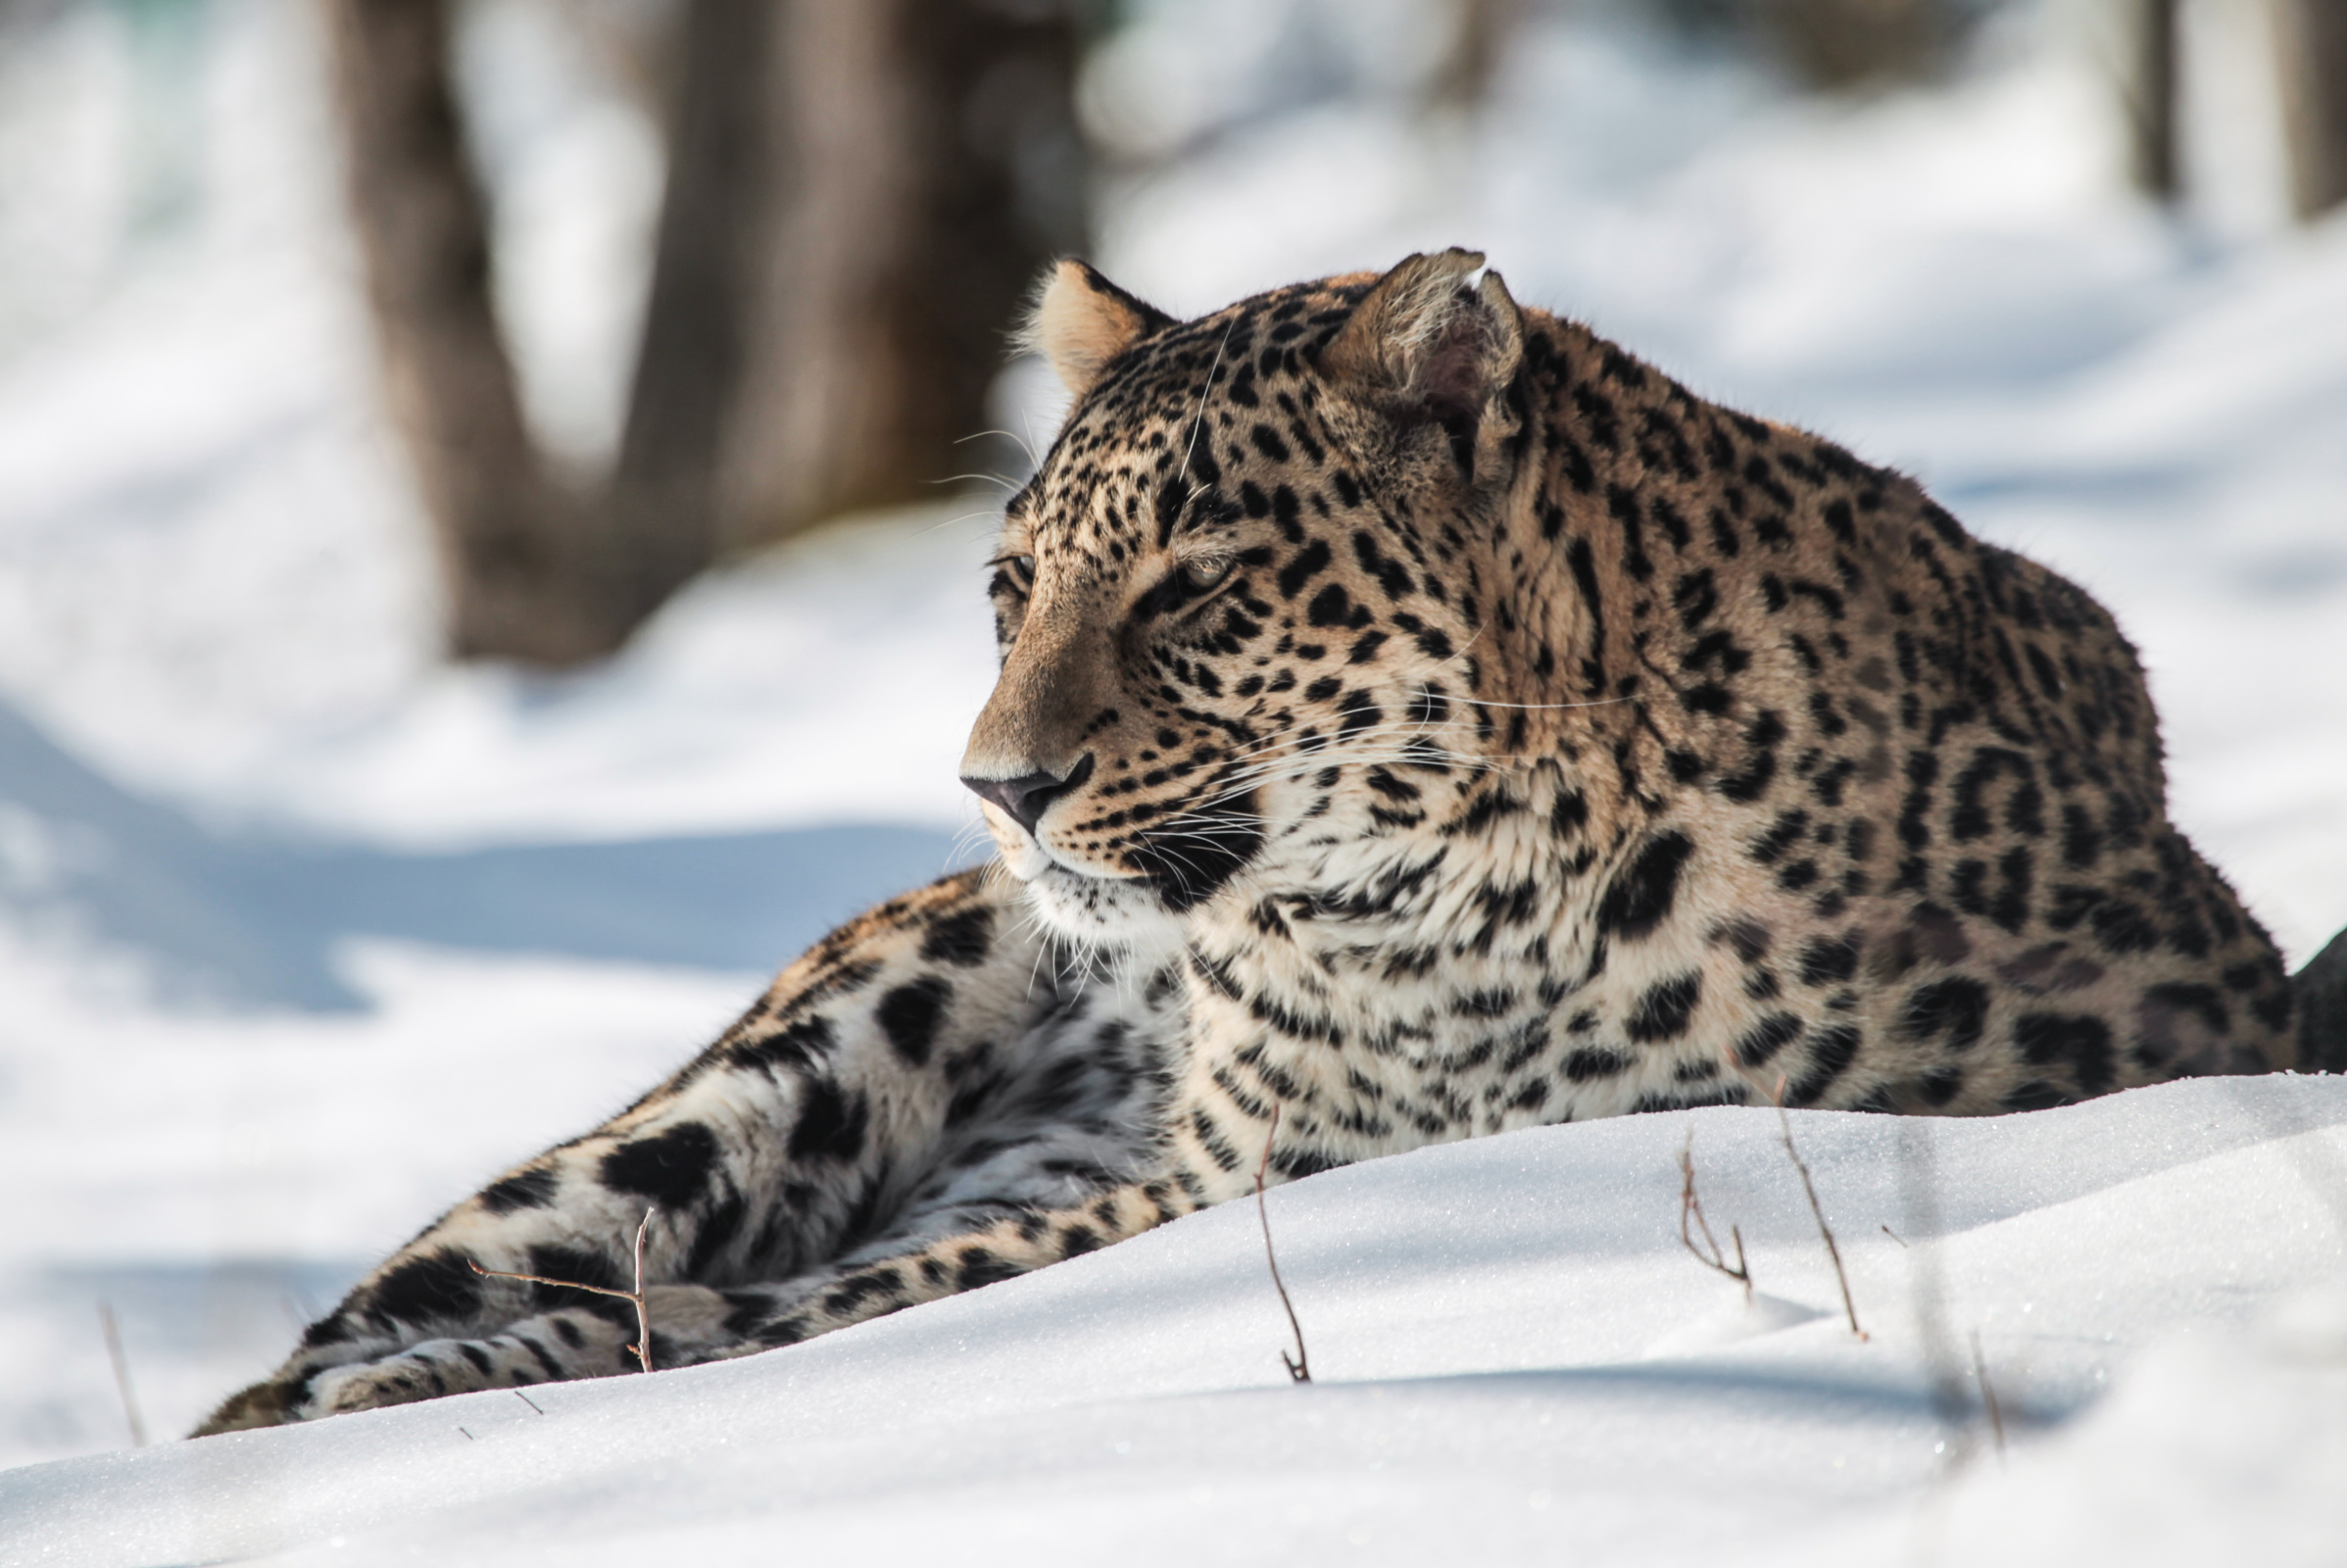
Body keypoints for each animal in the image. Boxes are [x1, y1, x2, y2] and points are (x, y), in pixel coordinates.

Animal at [197, 251, 2290, 1436]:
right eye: (1013, 589)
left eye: (1192, 591)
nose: (997, 789)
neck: (1446, 917)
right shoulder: (1226, 1170)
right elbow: (834, 1291)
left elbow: (859, 1296)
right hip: (773, 1067)